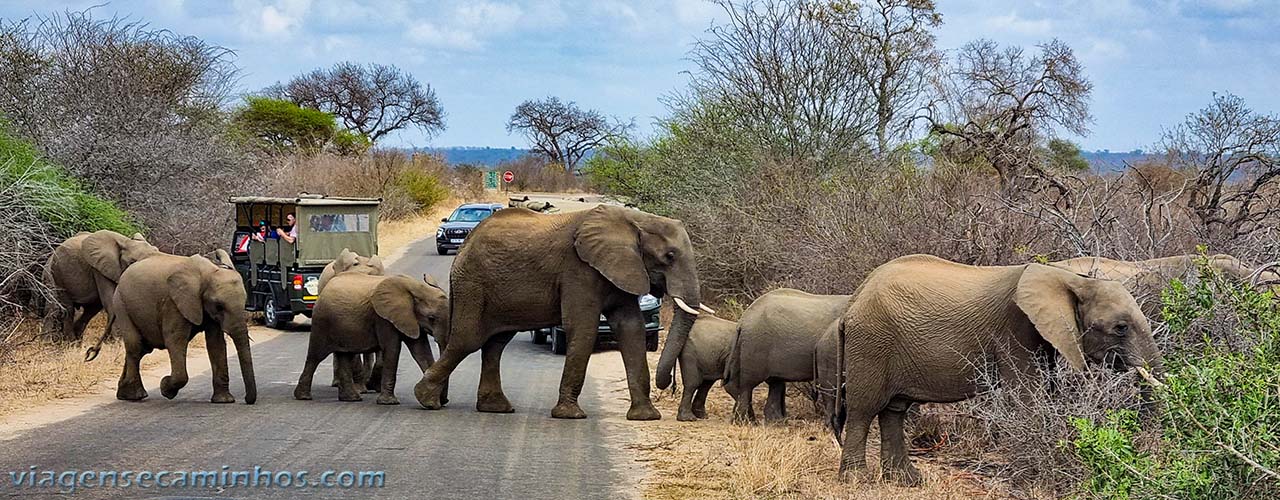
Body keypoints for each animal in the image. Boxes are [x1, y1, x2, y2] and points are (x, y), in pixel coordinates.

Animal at [109, 248, 254, 404]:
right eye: (219, 306)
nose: (247, 400)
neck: (208, 271)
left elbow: (216, 344)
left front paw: (224, 401)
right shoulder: (173, 303)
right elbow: (175, 341)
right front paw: (165, 389)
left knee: (142, 348)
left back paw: (125, 394)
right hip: (120, 303)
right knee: (135, 345)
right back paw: (136, 396)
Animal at [295, 272, 450, 404]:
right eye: (431, 318)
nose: (443, 401)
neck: (416, 286)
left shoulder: (411, 319)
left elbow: (421, 351)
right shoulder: (383, 318)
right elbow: (393, 349)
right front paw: (389, 403)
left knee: (344, 356)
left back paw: (351, 399)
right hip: (322, 321)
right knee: (315, 357)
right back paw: (303, 397)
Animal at [412, 205, 706, 421]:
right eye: (670, 256)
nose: (669, 385)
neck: (636, 220)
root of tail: (464, 246)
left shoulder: (622, 269)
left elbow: (631, 327)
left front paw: (646, 417)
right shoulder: (579, 269)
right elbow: (583, 327)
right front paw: (570, 415)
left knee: (496, 343)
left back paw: (496, 408)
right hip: (473, 283)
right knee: (467, 340)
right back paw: (426, 399)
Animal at [727, 290, 855, 421]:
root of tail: (742, 320)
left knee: (775, 383)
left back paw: (776, 421)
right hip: (756, 345)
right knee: (748, 384)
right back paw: (746, 421)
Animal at [829, 254, 1162, 485]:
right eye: (1120, 328)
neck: (1070, 278)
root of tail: (854, 300)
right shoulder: (1015, 329)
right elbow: (1028, 394)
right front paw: (1032, 475)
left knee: (894, 410)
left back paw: (907, 481)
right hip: (872, 342)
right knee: (864, 409)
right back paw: (857, 481)